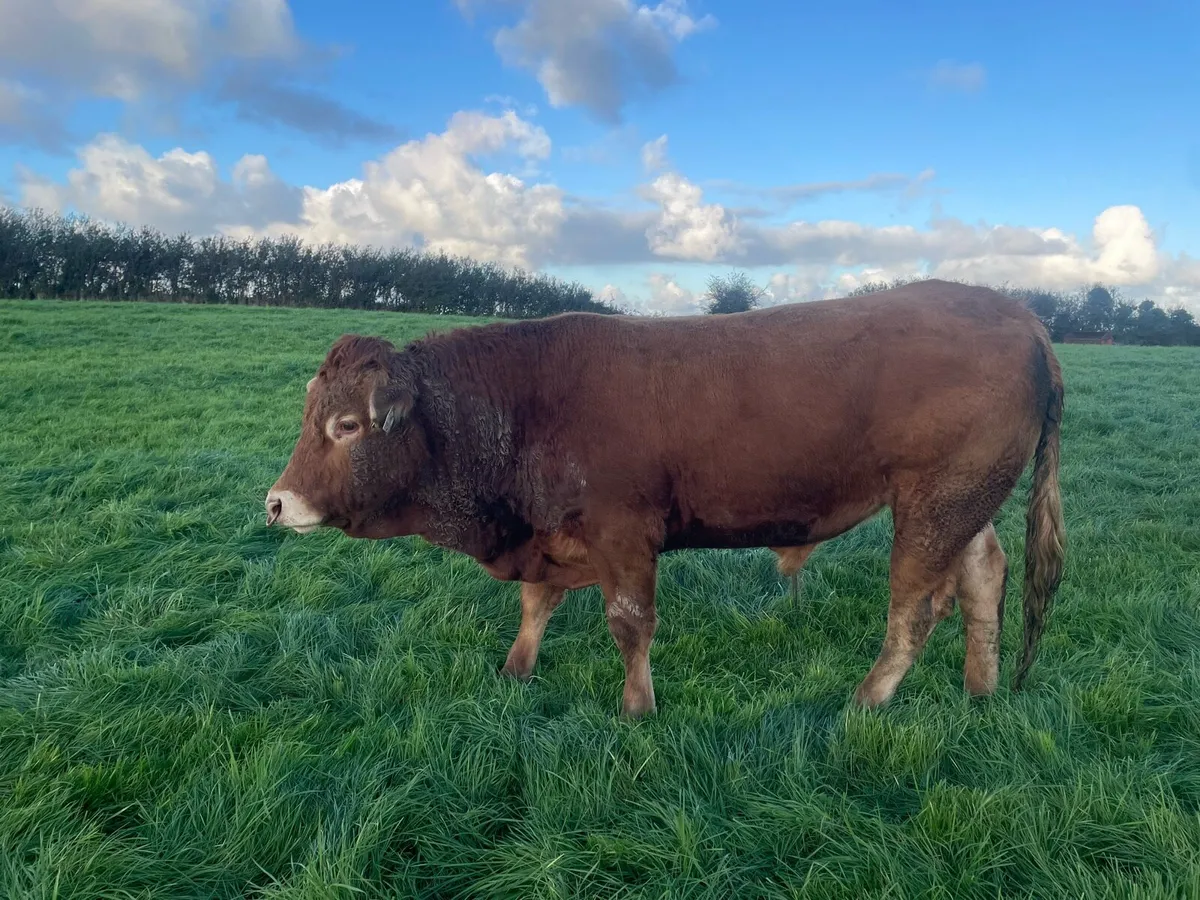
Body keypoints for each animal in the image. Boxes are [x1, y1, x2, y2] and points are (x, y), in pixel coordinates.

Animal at [264, 279, 1066, 718]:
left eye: (345, 425)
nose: (275, 503)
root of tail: (1022, 316)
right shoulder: (554, 533)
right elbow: (536, 605)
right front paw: (516, 670)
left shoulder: (623, 534)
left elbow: (630, 624)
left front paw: (636, 708)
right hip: (964, 502)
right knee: (982, 576)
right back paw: (981, 688)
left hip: (934, 501)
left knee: (915, 608)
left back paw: (865, 701)